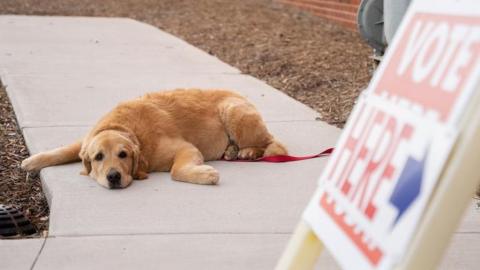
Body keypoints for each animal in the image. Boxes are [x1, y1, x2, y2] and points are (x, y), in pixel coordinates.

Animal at [21, 88, 284, 188]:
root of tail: (240, 94)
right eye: (98, 157)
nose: (113, 177)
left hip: (233, 112)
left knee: (275, 145)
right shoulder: (86, 140)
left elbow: (177, 171)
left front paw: (206, 174)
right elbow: (64, 150)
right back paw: (231, 151)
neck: (128, 129)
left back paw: (248, 151)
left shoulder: (186, 149)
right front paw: (33, 161)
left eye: (123, 154)